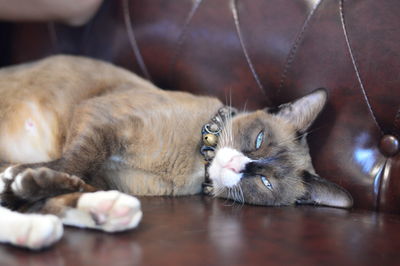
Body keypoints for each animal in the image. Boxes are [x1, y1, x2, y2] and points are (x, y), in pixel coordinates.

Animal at [0, 55, 352, 249]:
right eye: (258, 139)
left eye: (265, 182)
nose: (236, 165)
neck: (196, 161)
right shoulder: (102, 122)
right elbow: (73, 163)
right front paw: (22, 181)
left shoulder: (107, 174)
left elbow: (68, 179)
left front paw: (23, 184)